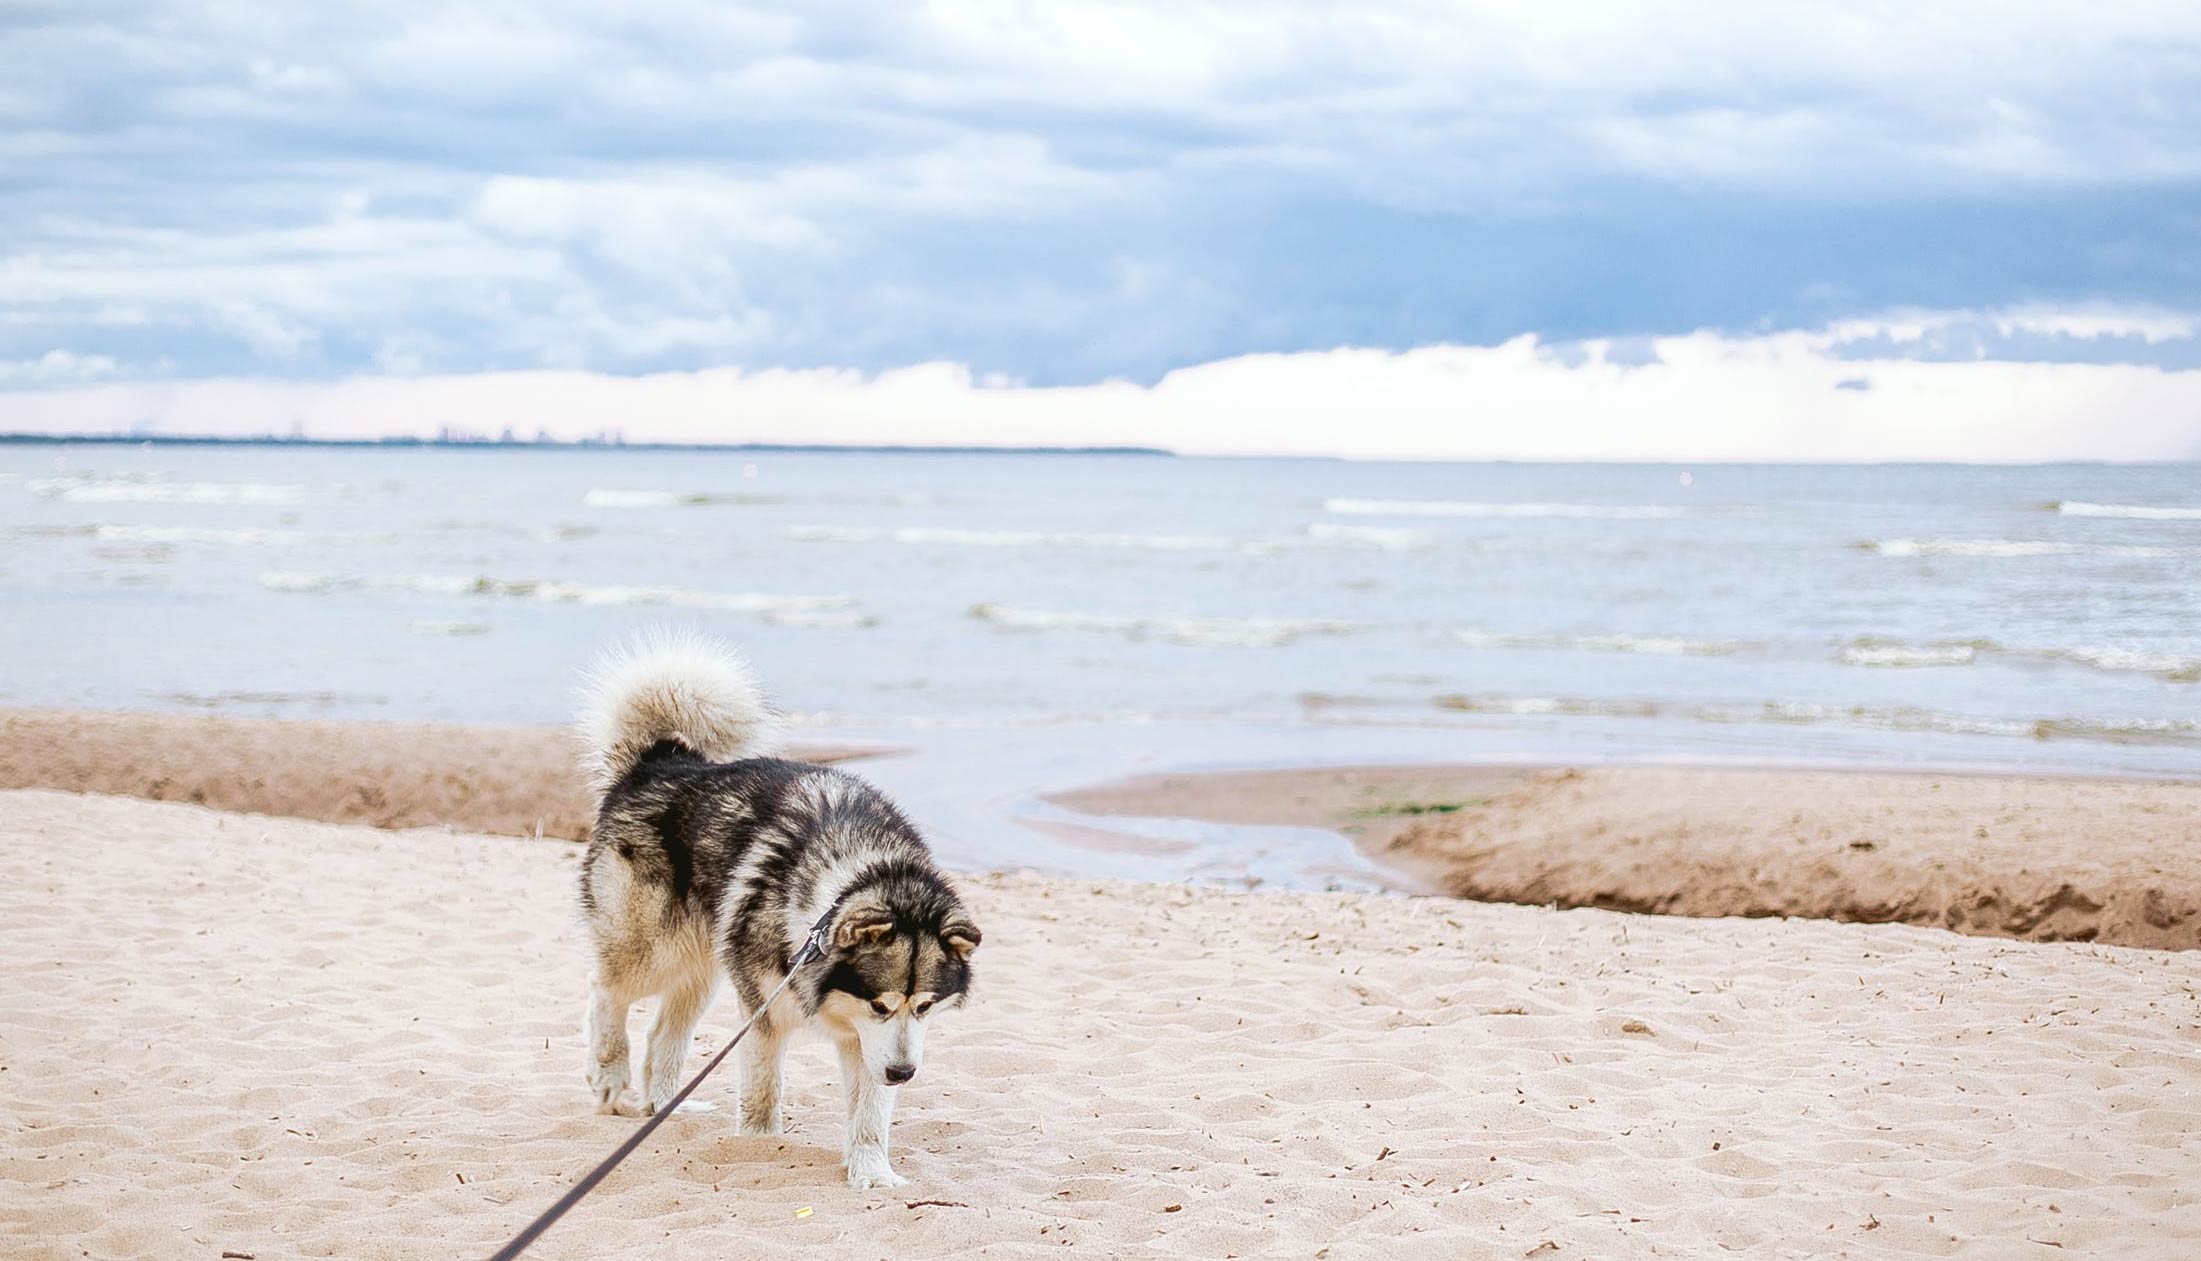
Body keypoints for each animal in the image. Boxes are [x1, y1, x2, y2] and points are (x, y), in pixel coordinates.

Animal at [576, 633, 981, 1188]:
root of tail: (659, 761)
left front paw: (872, 1172)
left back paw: (665, 1107)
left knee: (661, 1034)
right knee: (605, 990)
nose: (903, 1074)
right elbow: (762, 1095)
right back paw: (609, 1075)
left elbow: (870, 1115)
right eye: (881, 1005)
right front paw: (760, 1148)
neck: (850, 874)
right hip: (655, 951)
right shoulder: (765, 1017)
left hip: (702, 969)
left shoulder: (868, 1043)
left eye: (924, 1006)